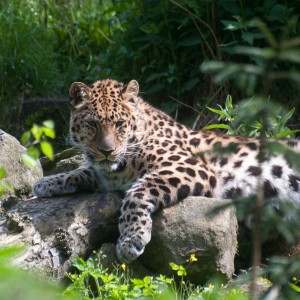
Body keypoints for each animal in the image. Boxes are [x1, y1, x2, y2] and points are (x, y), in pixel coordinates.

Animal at [32, 79, 300, 262]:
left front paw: (131, 239)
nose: (107, 151)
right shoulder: (106, 176)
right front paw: (45, 183)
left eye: (119, 124)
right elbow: (82, 171)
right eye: (92, 124)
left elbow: (136, 194)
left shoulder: (189, 166)